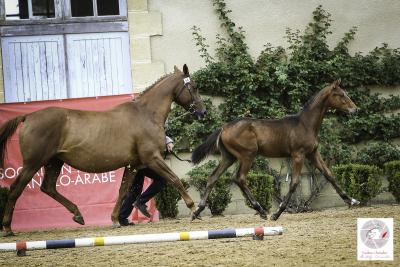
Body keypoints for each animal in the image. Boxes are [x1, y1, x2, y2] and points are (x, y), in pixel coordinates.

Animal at [0, 65, 205, 237]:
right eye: (194, 87)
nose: (203, 112)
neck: (145, 114)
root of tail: (28, 116)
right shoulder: (152, 158)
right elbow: (175, 179)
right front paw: (195, 210)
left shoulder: (133, 165)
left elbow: (124, 191)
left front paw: (115, 220)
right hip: (33, 163)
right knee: (15, 189)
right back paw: (8, 228)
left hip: (54, 161)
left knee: (48, 187)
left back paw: (78, 215)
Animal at [190, 80, 360, 222]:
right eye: (340, 94)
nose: (355, 110)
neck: (305, 124)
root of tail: (223, 128)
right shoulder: (298, 155)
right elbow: (294, 182)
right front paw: (277, 213)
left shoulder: (313, 154)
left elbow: (329, 175)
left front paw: (352, 200)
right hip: (247, 155)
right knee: (239, 178)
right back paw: (261, 211)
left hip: (229, 157)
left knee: (213, 177)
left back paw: (197, 211)